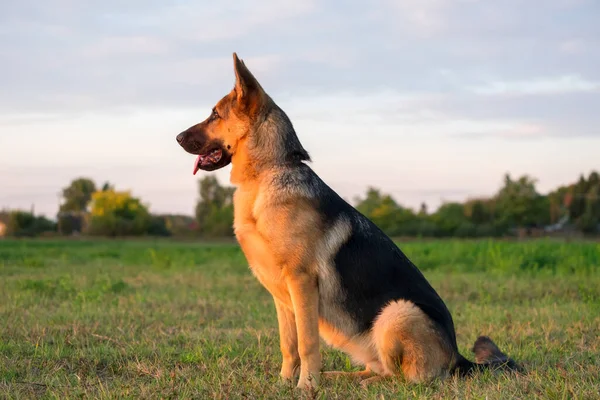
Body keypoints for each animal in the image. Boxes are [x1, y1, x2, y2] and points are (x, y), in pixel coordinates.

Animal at [175, 52, 520, 388]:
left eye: (215, 115)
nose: (176, 137)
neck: (269, 171)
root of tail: (459, 358)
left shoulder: (302, 283)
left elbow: (307, 343)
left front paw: (305, 388)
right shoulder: (282, 298)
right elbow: (289, 344)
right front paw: (285, 383)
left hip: (397, 312)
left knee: (403, 378)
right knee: (378, 368)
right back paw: (341, 377)